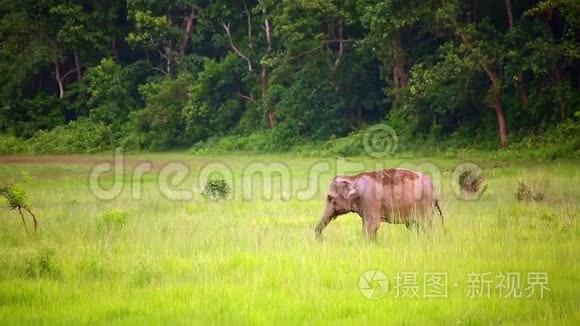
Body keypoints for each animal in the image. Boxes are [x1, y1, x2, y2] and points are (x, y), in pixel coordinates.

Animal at [312, 168, 444, 239]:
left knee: (424, 226)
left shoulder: (370, 200)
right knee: (414, 226)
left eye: (330, 198)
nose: (321, 239)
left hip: (425, 205)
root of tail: (433, 187)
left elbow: (372, 226)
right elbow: (369, 225)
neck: (353, 178)